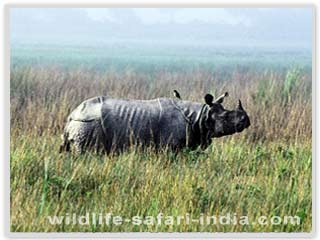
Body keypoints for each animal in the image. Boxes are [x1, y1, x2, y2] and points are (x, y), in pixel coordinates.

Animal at [59, 92, 250, 154]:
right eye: (225, 117)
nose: (246, 121)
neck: (201, 116)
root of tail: (72, 115)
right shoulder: (170, 146)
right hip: (88, 123)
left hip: (82, 122)